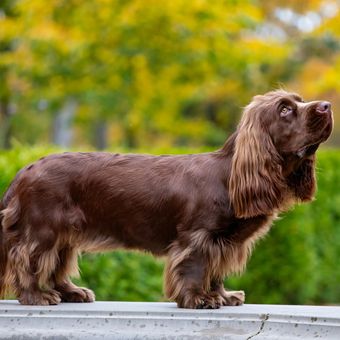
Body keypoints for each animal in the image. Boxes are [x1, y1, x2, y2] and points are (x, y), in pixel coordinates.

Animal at [0, 90, 334, 308]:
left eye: (300, 99)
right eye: (284, 109)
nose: (328, 105)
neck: (229, 175)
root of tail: (24, 170)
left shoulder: (223, 243)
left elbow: (216, 271)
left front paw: (223, 296)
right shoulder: (198, 237)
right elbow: (196, 267)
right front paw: (199, 299)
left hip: (65, 233)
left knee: (56, 264)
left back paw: (72, 292)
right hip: (43, 229)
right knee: (27, 260)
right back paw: (36, 296)